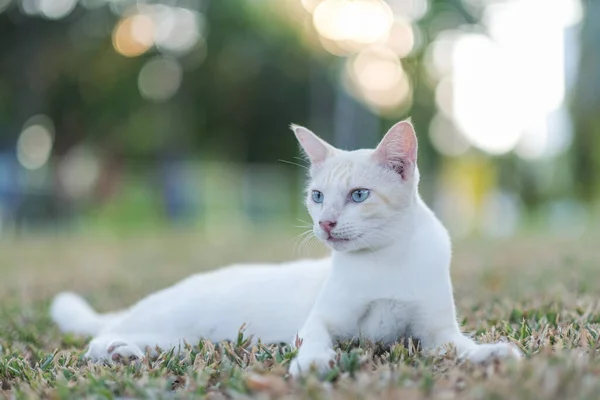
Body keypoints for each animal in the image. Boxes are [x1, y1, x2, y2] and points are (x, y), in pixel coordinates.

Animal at [50, 119, 520, 376]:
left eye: (359, 196)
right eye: (317, 196)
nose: (325, 222)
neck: (383, 259)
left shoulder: (438, 333)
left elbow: (461, 346)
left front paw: (490, 354)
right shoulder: (319, 322)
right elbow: (315, 341)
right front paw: (311, 365)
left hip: (184, 338)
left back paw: (130, 352)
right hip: (173, 318)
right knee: (98, 337)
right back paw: (116, 352)